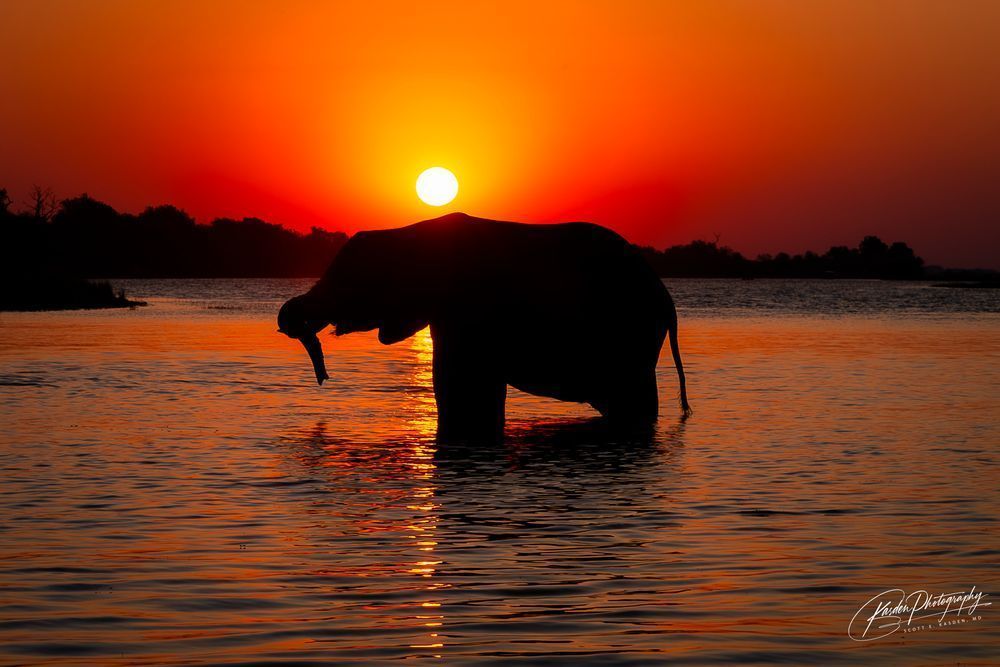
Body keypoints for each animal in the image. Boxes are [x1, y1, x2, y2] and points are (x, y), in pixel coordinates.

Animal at [278, 212, 689, 440]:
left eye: (348, 278)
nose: (323, 378)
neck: (411, 230)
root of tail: (667, 301)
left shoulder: (464, 311)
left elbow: (461, 388)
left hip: (630, 337)